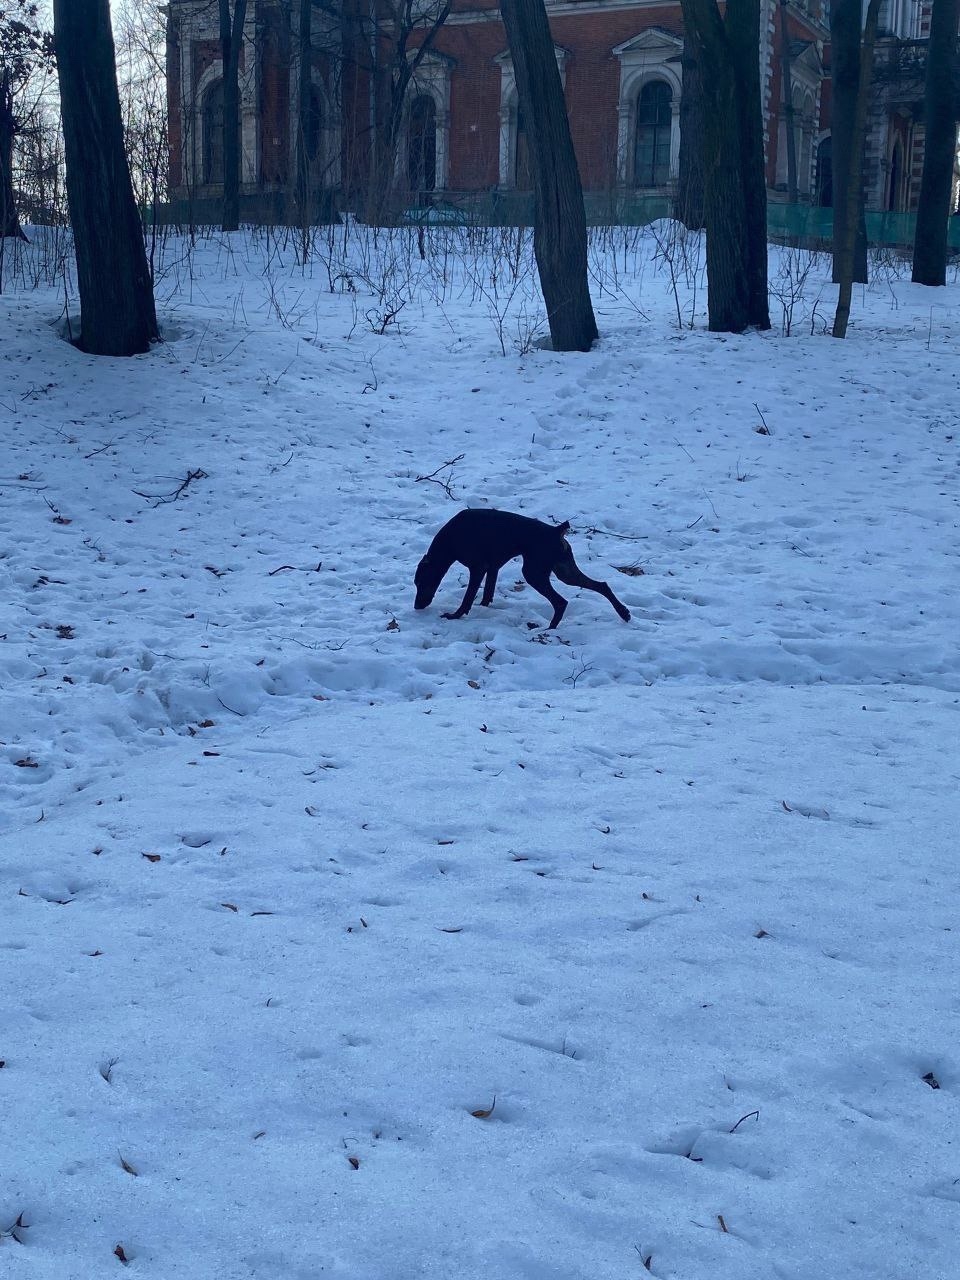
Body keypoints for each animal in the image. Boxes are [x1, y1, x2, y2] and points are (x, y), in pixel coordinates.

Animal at [414, 508, 631, 629]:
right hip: (565, 571)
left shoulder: (478, 568)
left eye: (420, 582)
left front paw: (455, 615)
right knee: (602, 585)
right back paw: (624, 613)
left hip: (534, 573)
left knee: (561, 602)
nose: (417, 606)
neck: (450, 539)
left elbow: (467, 598)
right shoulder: (492, 568)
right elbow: (487, 593)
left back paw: (548, 630)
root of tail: (556, 531)